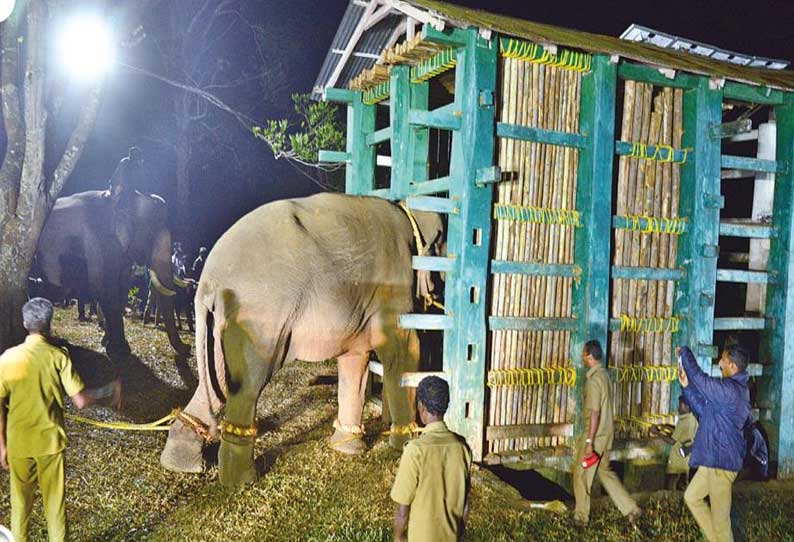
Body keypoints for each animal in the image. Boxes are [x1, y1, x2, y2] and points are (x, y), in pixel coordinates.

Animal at [36, 189, 189, 360]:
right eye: (150, 235)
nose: (188, 348)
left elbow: (121, 291)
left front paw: (107, 343)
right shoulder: (100, 243)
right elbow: (105, 289)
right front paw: (120, 351)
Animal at [159, 193, 446, 486]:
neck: (409, 212)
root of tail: (209, 280)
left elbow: (356, 358)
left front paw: (348, 449)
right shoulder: (395, 284)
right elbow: (404, 349)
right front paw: (406, 447)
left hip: (218, 322)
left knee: (215, 380)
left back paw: (182, 464)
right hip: (260, 317)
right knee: (247, 384)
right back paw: (242, 481)